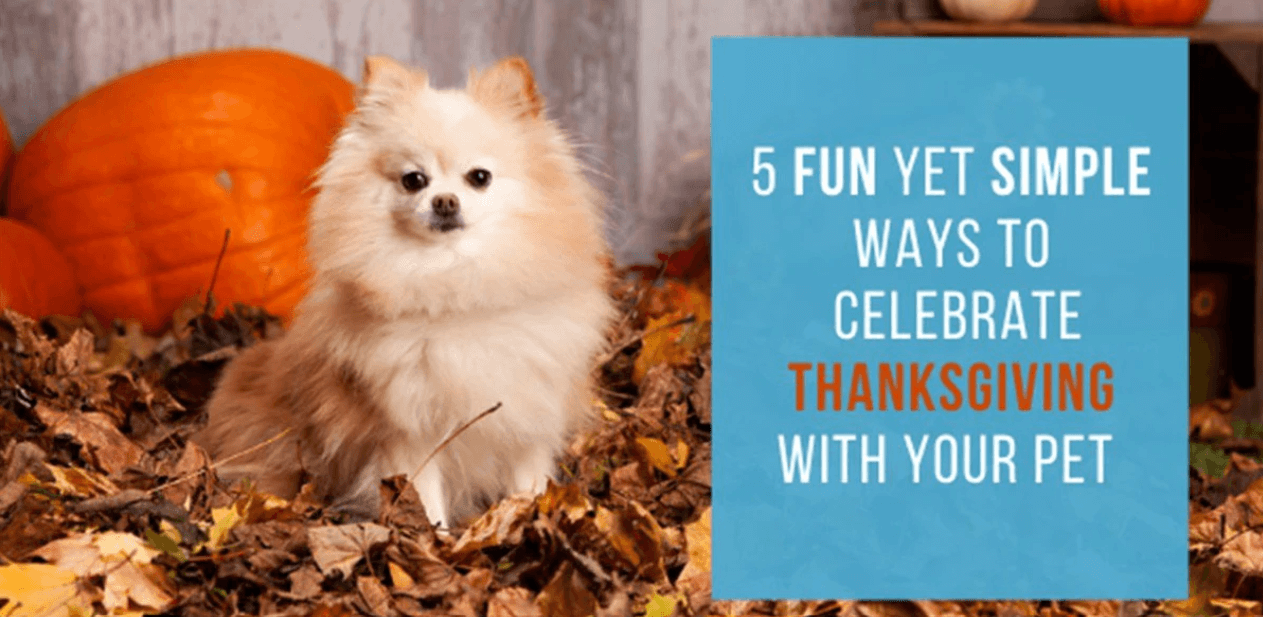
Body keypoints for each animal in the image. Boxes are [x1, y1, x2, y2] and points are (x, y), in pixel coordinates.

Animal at [188, 54, 616, 524]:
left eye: (479, 177)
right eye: (414, 180)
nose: (444, 201)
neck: (453, 284)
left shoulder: (527, 414)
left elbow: (529, 482)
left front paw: (529, 518)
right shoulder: (408, 433)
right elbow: (424, 499)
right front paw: (438, 538)